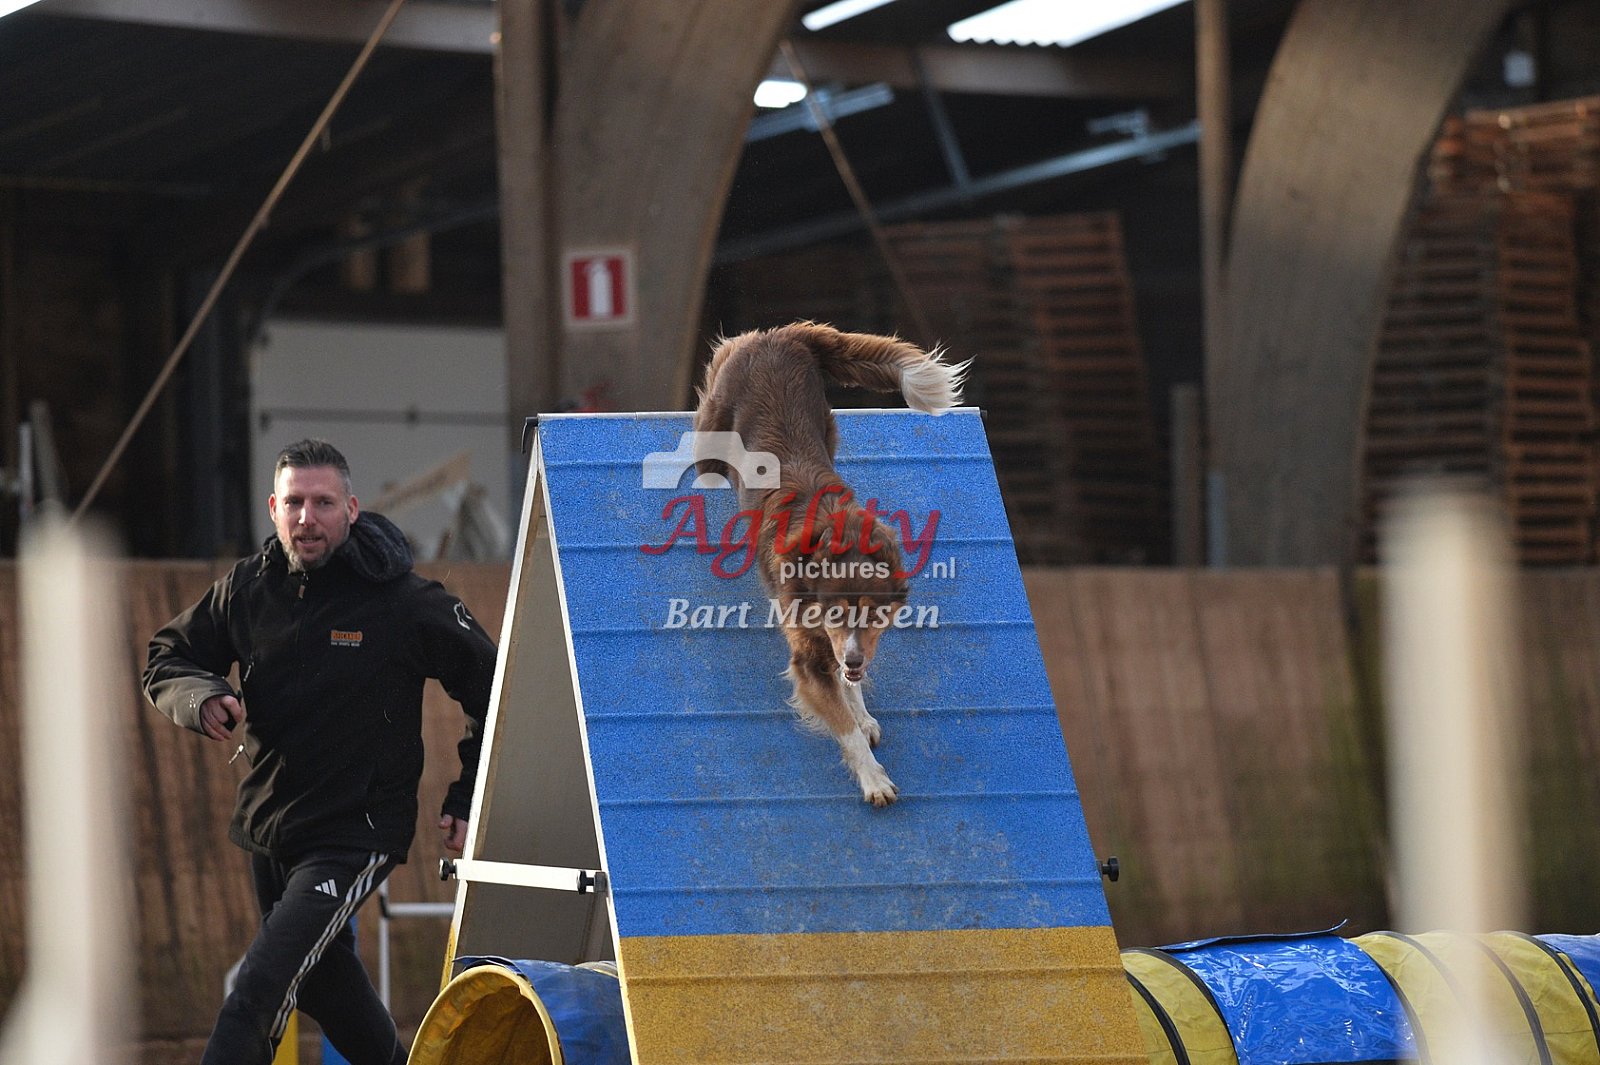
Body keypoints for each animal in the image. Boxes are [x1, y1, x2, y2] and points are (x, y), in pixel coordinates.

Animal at [692, 322, 968, 806]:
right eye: (836, 613)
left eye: (875, 615)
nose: (857, 658)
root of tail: (782, 334)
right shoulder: (808, 658)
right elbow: (843, 720)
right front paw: (874, 778)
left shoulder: (847, 649)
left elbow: (848, 685)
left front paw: (862, 713)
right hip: (713, 432)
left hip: (825, 422)